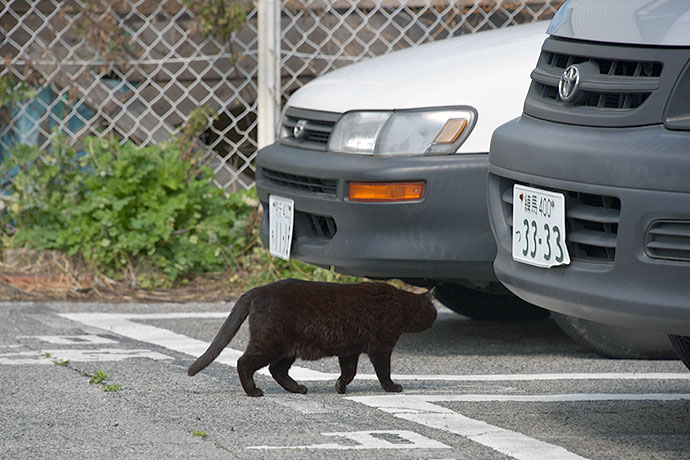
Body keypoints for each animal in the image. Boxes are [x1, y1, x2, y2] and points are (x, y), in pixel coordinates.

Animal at [188, 278, 436, 398]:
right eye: (433, 311)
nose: (435, 318)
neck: (401, 305)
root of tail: (257, 290)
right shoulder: (381, 348)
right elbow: (383, 372)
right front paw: (392, 388)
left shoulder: (349, 350)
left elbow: (349, 372)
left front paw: (340, 387)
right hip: (271, 342)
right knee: (244, 363)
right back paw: (253, 391)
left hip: (288, 348)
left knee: (276, 370)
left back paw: (298, 388)